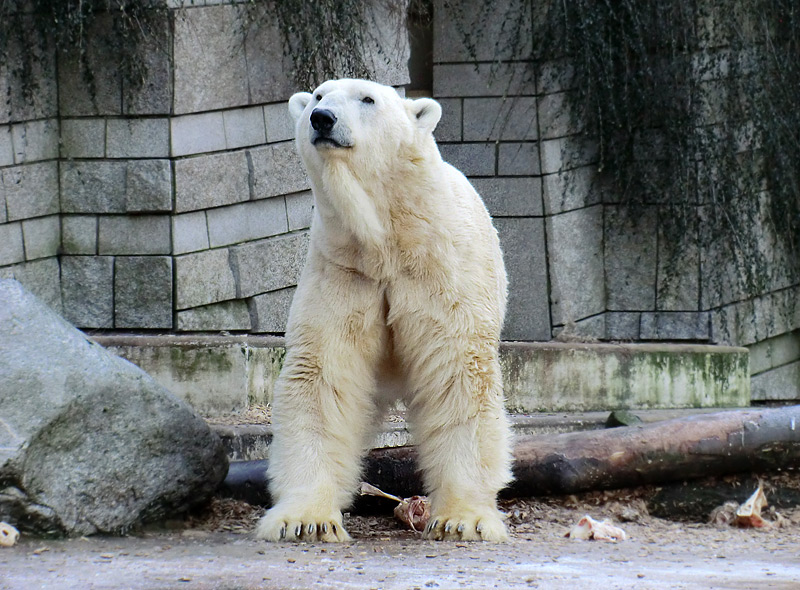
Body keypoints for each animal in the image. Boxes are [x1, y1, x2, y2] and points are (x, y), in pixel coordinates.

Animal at [256, 80, 512, 544]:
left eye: (367, 99)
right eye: (318, 96)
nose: (322, 119)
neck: (387, 240)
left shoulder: (438, 270)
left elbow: (459, 373)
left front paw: (462, 519)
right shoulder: (345, 270)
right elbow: (321, 375)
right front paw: (305, 519)